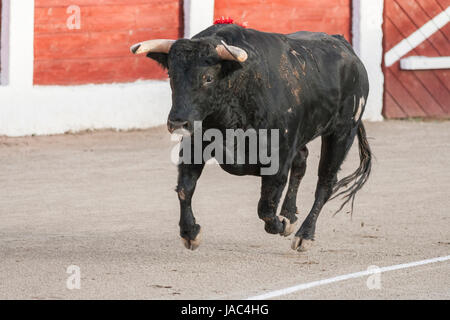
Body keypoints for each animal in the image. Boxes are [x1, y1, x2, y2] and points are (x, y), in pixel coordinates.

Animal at [131, 23, 372, 251]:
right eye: (171, 76)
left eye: (208, 78)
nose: (177, 122)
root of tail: (345, 46)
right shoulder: (194, 145)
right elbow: (184, 188)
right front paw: (190, 234)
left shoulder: (279, 156)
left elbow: (265, 207)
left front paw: (280, 224)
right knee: (302, 161)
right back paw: (289, 215)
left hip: (342, 132)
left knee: (325, 182)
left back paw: (304, 235)